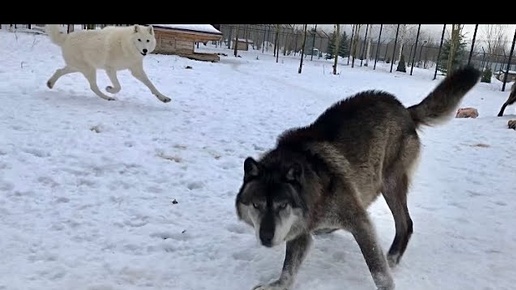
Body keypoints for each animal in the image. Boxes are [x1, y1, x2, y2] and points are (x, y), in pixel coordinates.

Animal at [234, 66, 480, 290]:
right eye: (256, 205)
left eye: (282, 205)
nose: (265, 237)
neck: (313, 185)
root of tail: (405, 110)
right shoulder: (301, 230)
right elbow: (288, 269)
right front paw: (276, 285)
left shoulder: (360, 223)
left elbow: (378, 271)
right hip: (367, 180)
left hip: (389, 185)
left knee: (406, 224)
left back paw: (391, 258)